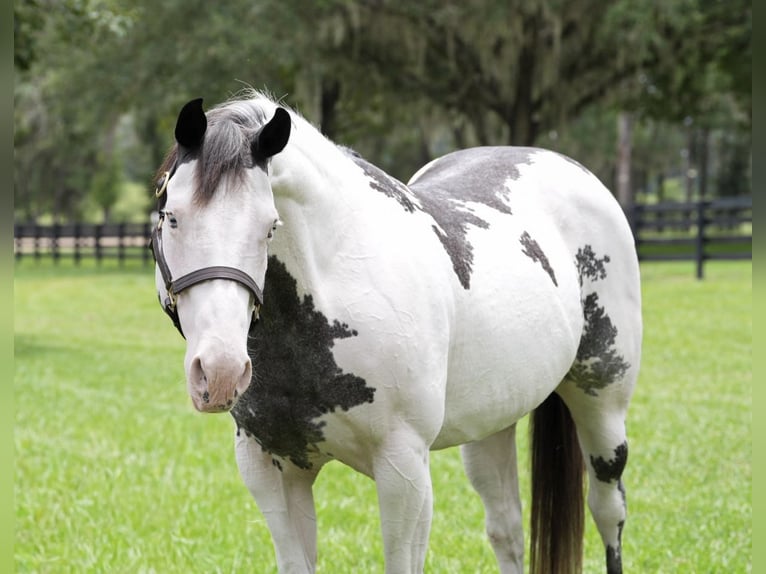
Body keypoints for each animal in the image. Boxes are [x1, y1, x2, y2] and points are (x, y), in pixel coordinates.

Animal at [150, 91, 641, 574]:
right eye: (170, 217)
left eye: (270, 226)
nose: (221, 371)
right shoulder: (271, 466)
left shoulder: (403, 471)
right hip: (492, 424)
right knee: (507, 530)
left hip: (602, 408)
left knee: (608, 513)